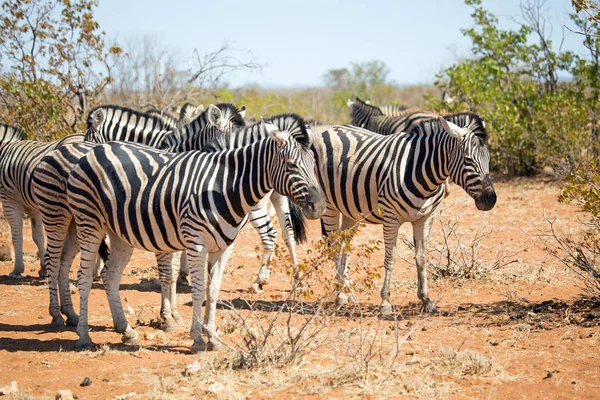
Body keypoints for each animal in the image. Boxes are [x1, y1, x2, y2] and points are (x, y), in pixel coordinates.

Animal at [0, 130, 84, 278]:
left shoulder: (9, 199)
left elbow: (17, 236)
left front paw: (17, 270)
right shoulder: (34, 207)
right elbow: (38, 236)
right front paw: (44, 268)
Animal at [29, 102, 246, 328]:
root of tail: (52, 152)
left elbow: (172, 270)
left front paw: (174, 314)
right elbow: (166, 272)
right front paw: (167, 316)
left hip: (75, 221)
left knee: (63, 263)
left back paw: (70, 313)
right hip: (55, 213)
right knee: (53, 260)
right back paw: (56, 314)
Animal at [66, 121, 326, 350]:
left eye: (314, 164)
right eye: (291, 165)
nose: (320, 207)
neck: (226, 186)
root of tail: (96, 149)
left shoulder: (224, 247)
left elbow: (213, 291)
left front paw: (213, 338)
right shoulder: (196, 243)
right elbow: (199, 290)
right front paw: (198, 338)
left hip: (120, 233)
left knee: (110, 276)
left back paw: (126, 330)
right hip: (89, 223)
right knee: (84, 277)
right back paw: (83, 336)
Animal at [310, 112, 496, 312]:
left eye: (488, 159)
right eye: (468, 159)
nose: (491, 199)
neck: (421, 172)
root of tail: (330, 129)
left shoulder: (425, 218)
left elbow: (421, 257)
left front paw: (426, 299)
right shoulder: (390, 218)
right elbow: (390, 258)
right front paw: (385, 301)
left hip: (350, 210)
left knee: (345, 246)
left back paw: (348, 293)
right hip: (329, 206)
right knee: (335, 247)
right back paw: (340, 295)